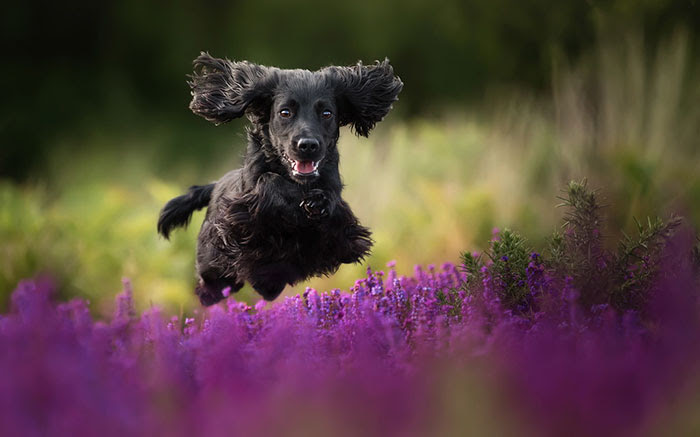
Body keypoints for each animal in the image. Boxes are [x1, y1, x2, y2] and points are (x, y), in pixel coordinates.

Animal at [157, 52, 402, 304]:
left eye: (327, 113)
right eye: (285, 112)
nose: (308, 145)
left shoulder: (340, 226)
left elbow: (333, 201)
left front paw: (318, 201)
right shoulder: (242, 215)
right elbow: (269, 180)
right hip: (214, 265)